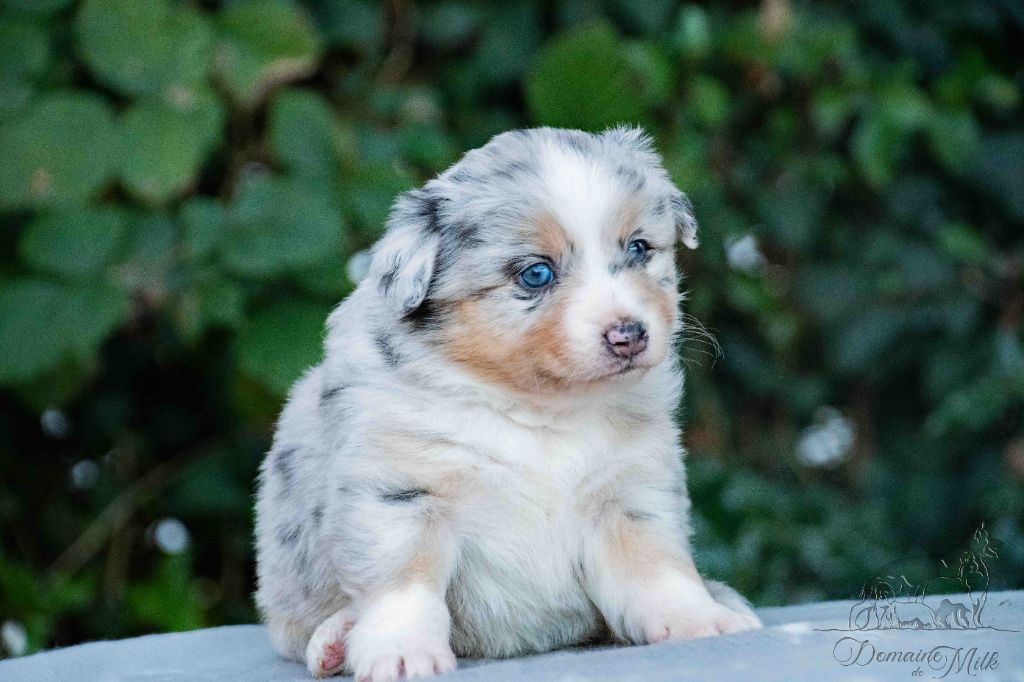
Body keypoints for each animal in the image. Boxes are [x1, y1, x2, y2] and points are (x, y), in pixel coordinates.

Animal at [254, 127, 761, 681]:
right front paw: (402, 652)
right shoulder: (401, 493)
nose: (629, 335)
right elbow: (405, 587)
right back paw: (335, 639)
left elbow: (657, 569)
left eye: (639, 247)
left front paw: (699, 618)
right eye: (535, 274)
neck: (538, 409)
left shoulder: (628, 494)